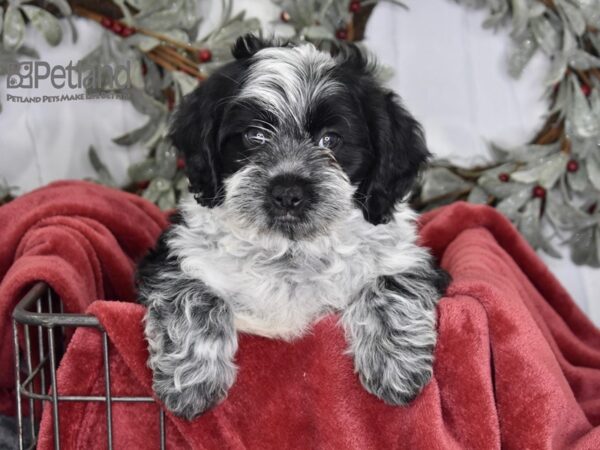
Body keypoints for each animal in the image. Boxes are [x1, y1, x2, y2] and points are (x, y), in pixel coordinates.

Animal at [138, 33, 450, 420]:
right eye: (254, 136)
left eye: (331, 140)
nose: (288, 192)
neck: (290, 250)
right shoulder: (174, 255)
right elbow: (194, 293)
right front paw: (192, 380)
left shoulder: (409, 257)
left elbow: (388, 283)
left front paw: (395, 367)